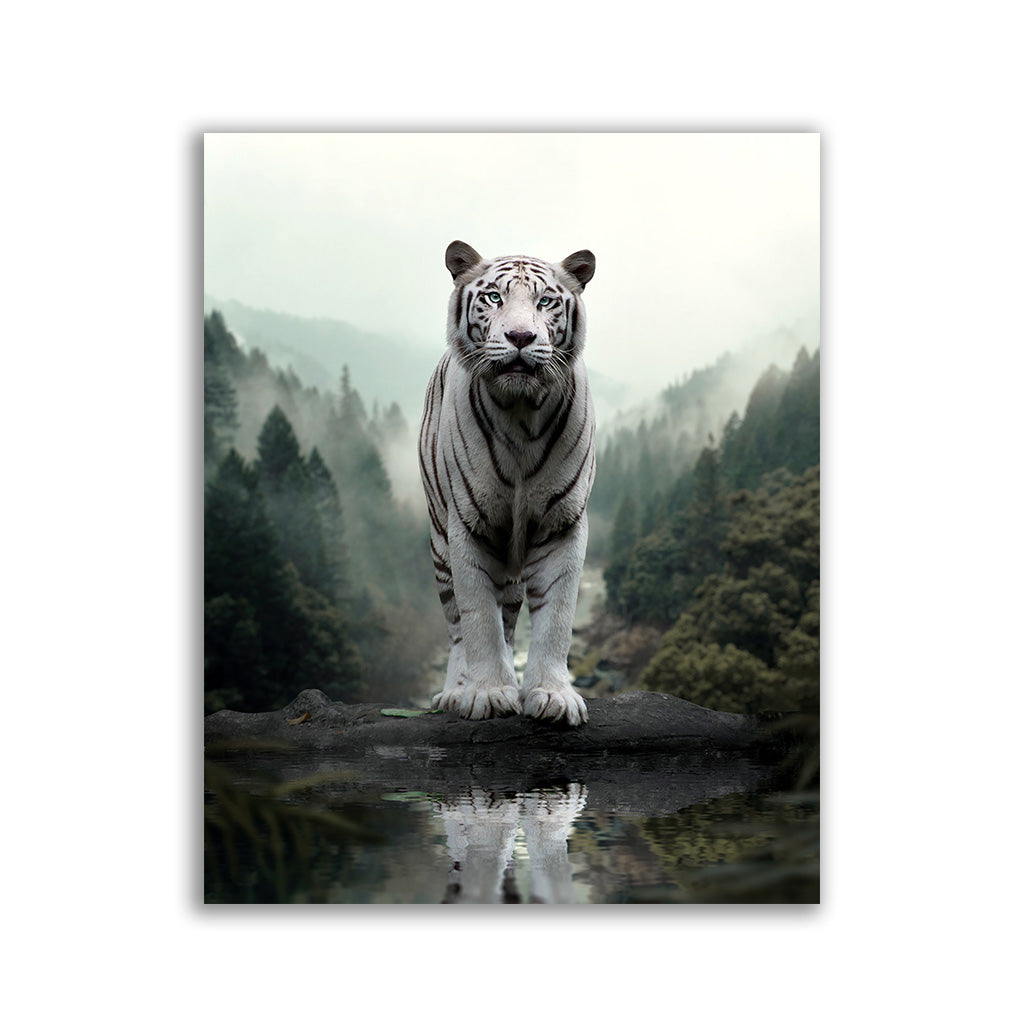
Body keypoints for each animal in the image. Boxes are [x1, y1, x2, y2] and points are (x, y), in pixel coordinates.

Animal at [418, 240, 597, 726]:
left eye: (546, 301)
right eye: (494, 297)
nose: (520, 337)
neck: (521, 413)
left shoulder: (562, 524)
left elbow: (556, 617)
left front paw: (552, 695)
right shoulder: (468, 526)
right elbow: (479, 618)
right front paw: (489, 694)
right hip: (439, 545)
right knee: (457, 626)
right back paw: (454, 692)